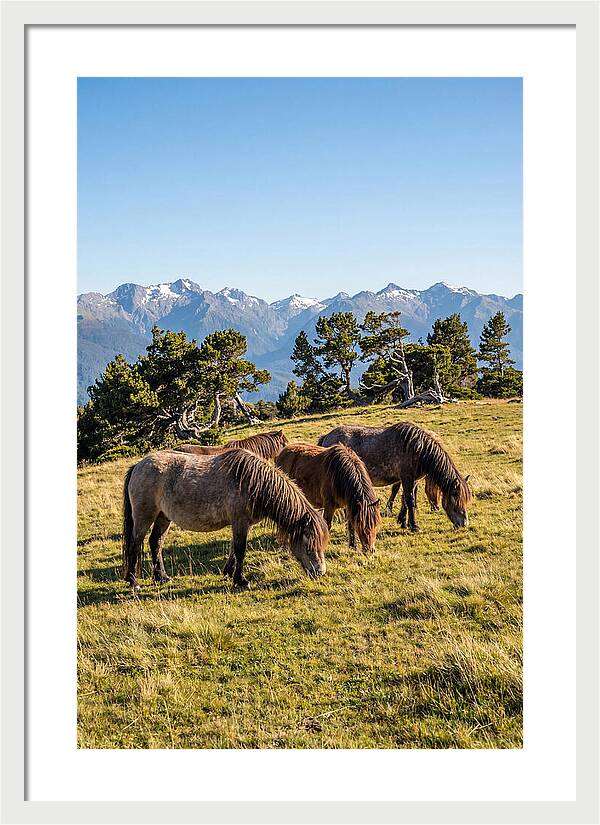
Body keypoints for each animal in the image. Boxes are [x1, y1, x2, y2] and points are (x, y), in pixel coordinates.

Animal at [122, 448, 329, 589]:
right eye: (309, 545)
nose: (320, 572)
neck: (252, 482)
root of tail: (138, 465)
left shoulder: (242, 523)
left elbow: (233, 549)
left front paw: (229, 572)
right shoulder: (240, 521)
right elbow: (240, 550)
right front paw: (241, 580)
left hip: (163, 517)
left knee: (155, 543)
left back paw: (161, 577)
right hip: (144, 516)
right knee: (135, 543)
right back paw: (133, 581)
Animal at [318, 422, 470, 531]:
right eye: (456, 497)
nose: (464, 523)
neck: (418, 448)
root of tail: (326, 436)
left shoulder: (412, 480)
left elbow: (405, 499)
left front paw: (403, 522)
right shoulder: (407, 478)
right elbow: (410, 500)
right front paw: (414, 526)